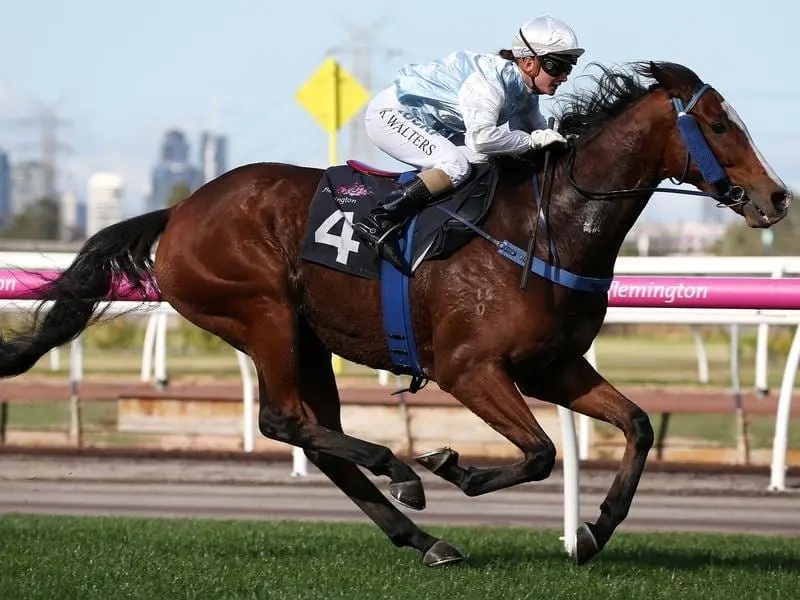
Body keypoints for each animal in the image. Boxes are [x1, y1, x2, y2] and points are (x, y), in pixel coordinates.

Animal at [0, 61, 788, 568]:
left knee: (316, 436)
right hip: (262, 313)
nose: (777, 197)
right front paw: (450, 466)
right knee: (283, 420)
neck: (550, 225)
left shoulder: (553, 367)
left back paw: (422, 536)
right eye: (719, 125)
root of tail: (180, 211)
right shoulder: (469, 368)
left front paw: (594, 531)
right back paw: (402, 473)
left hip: (307, 339)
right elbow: (541, 452)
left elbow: (637, 426)